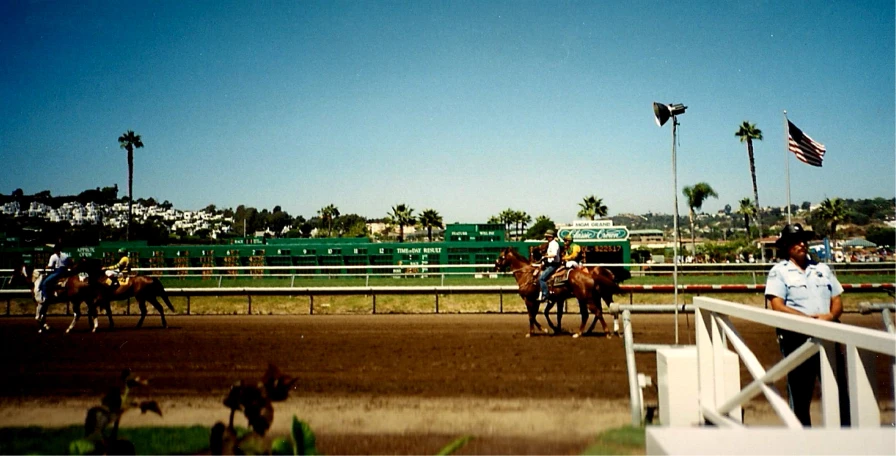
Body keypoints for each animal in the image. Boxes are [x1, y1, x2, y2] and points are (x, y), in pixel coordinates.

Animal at [494, 248, 628, 336]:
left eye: (501, 257)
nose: (495, 267)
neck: (528, 275)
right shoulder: (544, 300)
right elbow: (541, 315)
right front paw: (551, 329)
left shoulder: (530, 300)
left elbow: (532, 316)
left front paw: (534, 332)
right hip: (594, 296)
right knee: (597, 312)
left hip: (593, 297)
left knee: (598, 312)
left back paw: (607, 332)